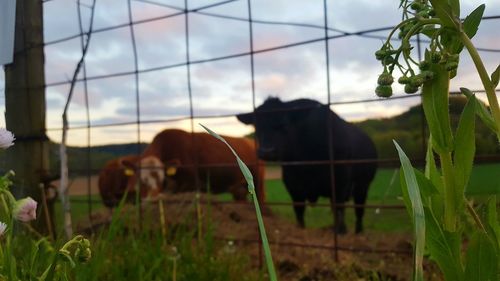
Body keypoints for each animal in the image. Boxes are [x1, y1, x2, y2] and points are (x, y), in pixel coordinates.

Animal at [123, 128, 266, 200]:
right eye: (141, 180)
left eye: (162, 179)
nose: (151, 199)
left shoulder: (191, 185)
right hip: (239, 189)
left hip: (258, 184)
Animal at [237, 97, 376, 233]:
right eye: (256, 127)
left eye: (284, 124)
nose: (267, 151)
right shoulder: (293, 185)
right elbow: (299, 211)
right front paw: (300, 227)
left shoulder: (340, 183)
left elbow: (339, 209)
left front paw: (340, 231)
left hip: (363, 186)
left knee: (359, 210)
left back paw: (358, 231)